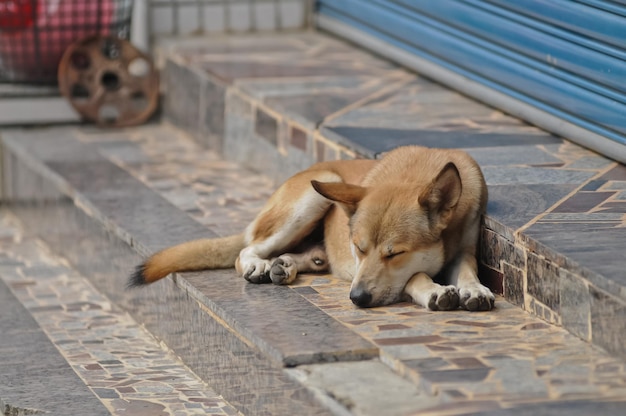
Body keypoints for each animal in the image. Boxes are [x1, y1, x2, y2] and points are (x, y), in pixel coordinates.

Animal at [129, 146, 494, 312]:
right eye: (358, 248)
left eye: (396, 254)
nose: (356, 298)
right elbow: (415, 276)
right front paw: (434, 290)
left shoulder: (464, 248)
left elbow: (467, 269)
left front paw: (474, 289)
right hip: (316, 192)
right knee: (246, 249)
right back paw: (259, 266)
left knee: (309, 257)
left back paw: (285, 266)